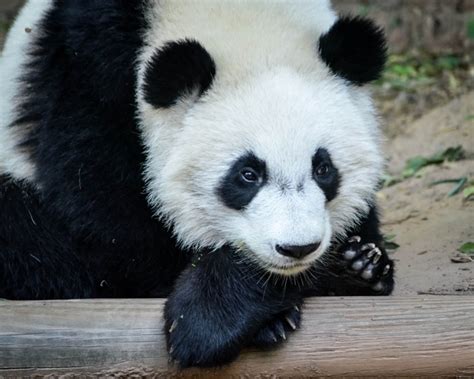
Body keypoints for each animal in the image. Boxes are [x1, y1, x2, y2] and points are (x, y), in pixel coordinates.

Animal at [0, 0, 394, 368]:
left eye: (323, 169)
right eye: (247, 174)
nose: (298, 248)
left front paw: (354, 266)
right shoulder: (90, 75)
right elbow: (109, 218)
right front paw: (224, 317)